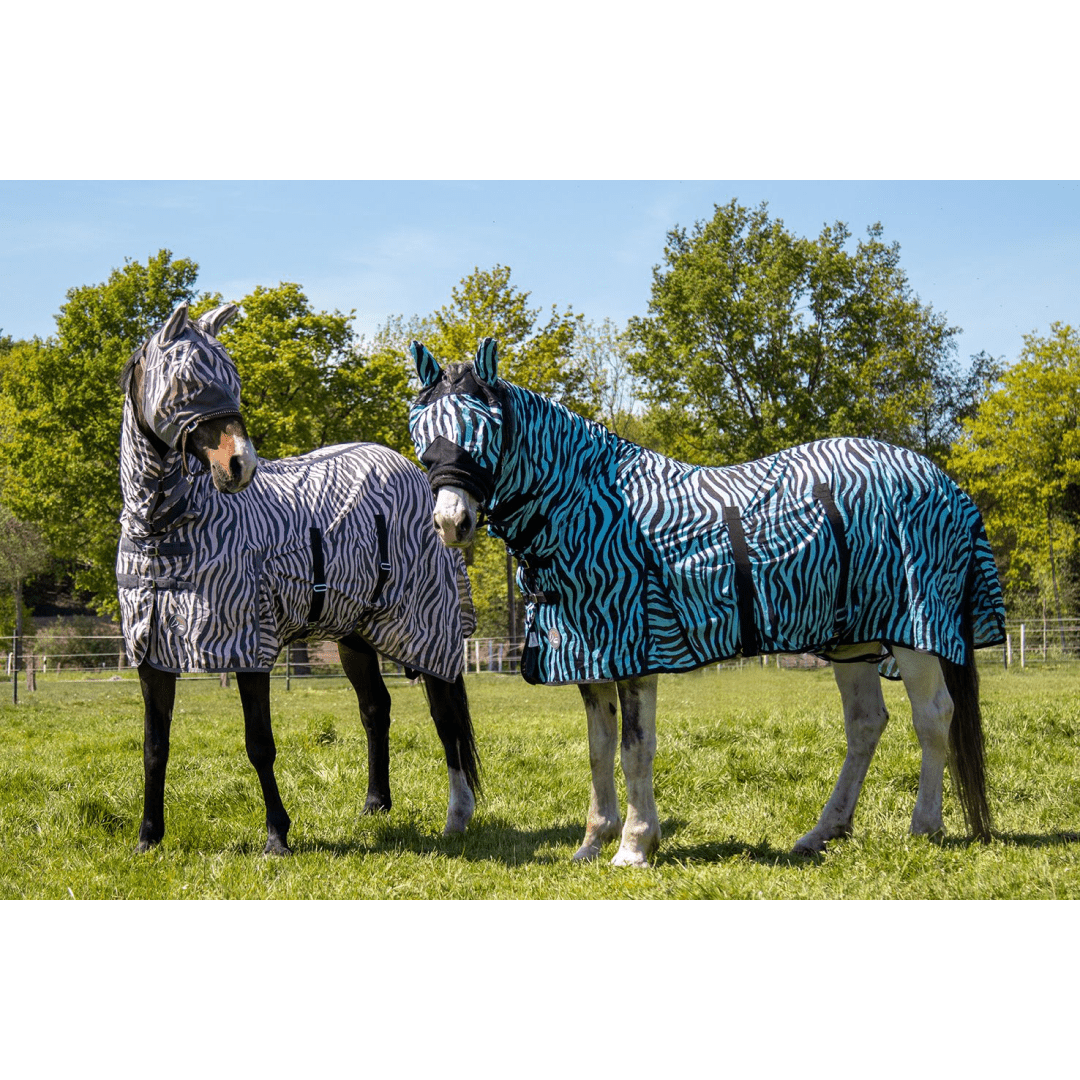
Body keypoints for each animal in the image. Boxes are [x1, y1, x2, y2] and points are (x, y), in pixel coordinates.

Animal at [117, 301, 480, 854]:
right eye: (188, 383)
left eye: (233, 379)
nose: (239, 465)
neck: (165, 531)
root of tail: (421, 478)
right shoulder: (150, 650)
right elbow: (154, 746)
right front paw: (148, 839)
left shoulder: (250, 645)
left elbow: (259, 745)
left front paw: (276, 835)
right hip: (355, 633)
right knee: (375, 708)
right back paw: (376, 804)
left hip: (430, 628)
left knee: (446, 720)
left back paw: (457, 815)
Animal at [409, 337, 1007, 867]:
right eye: (421, 433)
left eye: (485, 428)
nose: (451, 523)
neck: (591, 509)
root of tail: (942, 480)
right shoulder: (588, 657)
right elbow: (599, 750)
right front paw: (592, 845)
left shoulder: (636, 651)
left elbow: (635, 748)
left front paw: (635, 847)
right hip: (852, 639)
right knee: (865, 722)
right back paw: (822, 833)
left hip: (916, 631)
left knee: (933, 717)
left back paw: (924, 827)